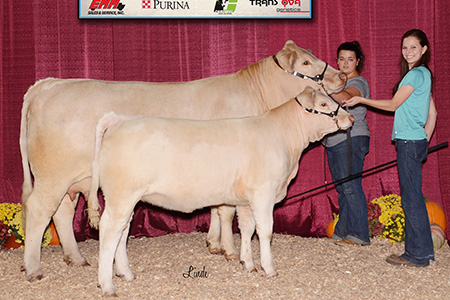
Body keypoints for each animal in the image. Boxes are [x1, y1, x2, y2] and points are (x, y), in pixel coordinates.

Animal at [19, 39, 346, 282]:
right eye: (305, 63)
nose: (342, 76)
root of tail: (48, 84)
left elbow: (217, 208)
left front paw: (214, 244)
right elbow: (226, 212)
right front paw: (228, 249)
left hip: (71, 180)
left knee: (61, 213)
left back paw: (75, 258)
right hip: (53, 175)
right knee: (39, 211)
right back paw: (33, 268)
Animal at [89, 87, 356, 298]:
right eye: (323, 104)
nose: (351, 116)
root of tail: (120, 119)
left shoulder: (247, 199)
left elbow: (247, 229)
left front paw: (248, 263)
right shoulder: (264, 193)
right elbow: (265, 231)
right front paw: (269, 268)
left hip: (128, 198)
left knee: (123, 230)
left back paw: (126, 273)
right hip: (121, 196)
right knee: (110, 230)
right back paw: (107, 285)